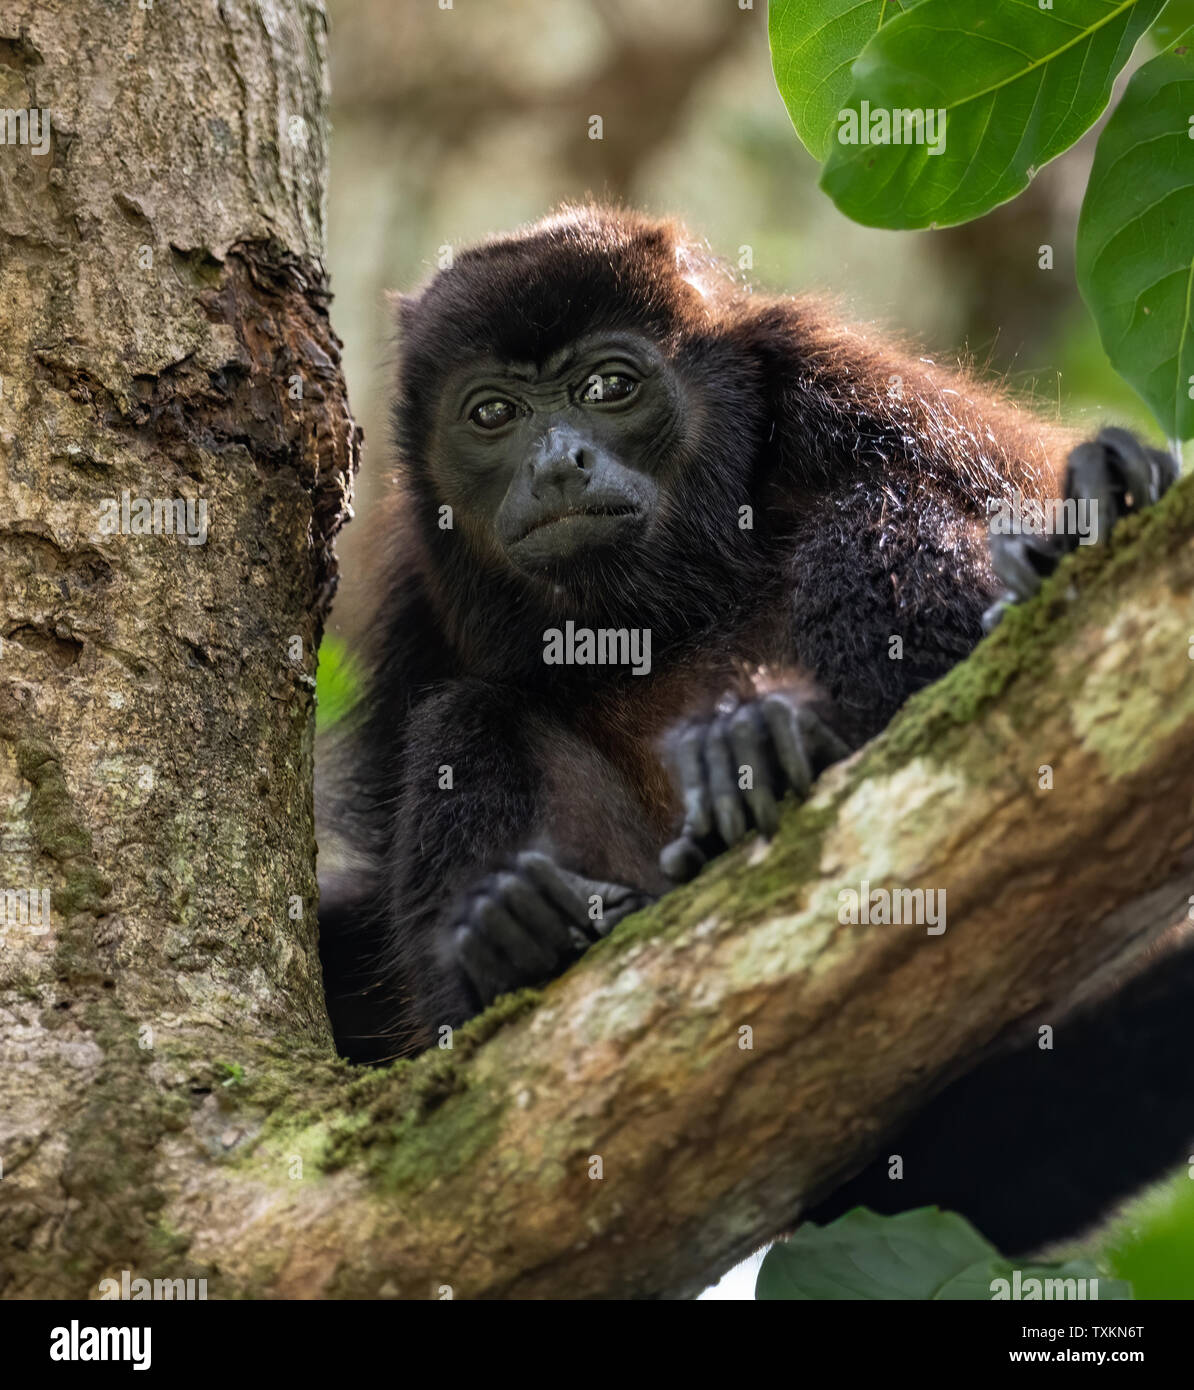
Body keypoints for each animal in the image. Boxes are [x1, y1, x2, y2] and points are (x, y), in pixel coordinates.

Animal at [317, 204, 1180, 1253]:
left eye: (608, 388)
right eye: (491, 414)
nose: (558, 461)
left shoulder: (851, 390)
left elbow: (988, 490)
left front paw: (1096, 502)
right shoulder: (416, 595)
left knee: (880, 507)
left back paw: (772, 751)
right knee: (465, 719)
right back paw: (519, 940)